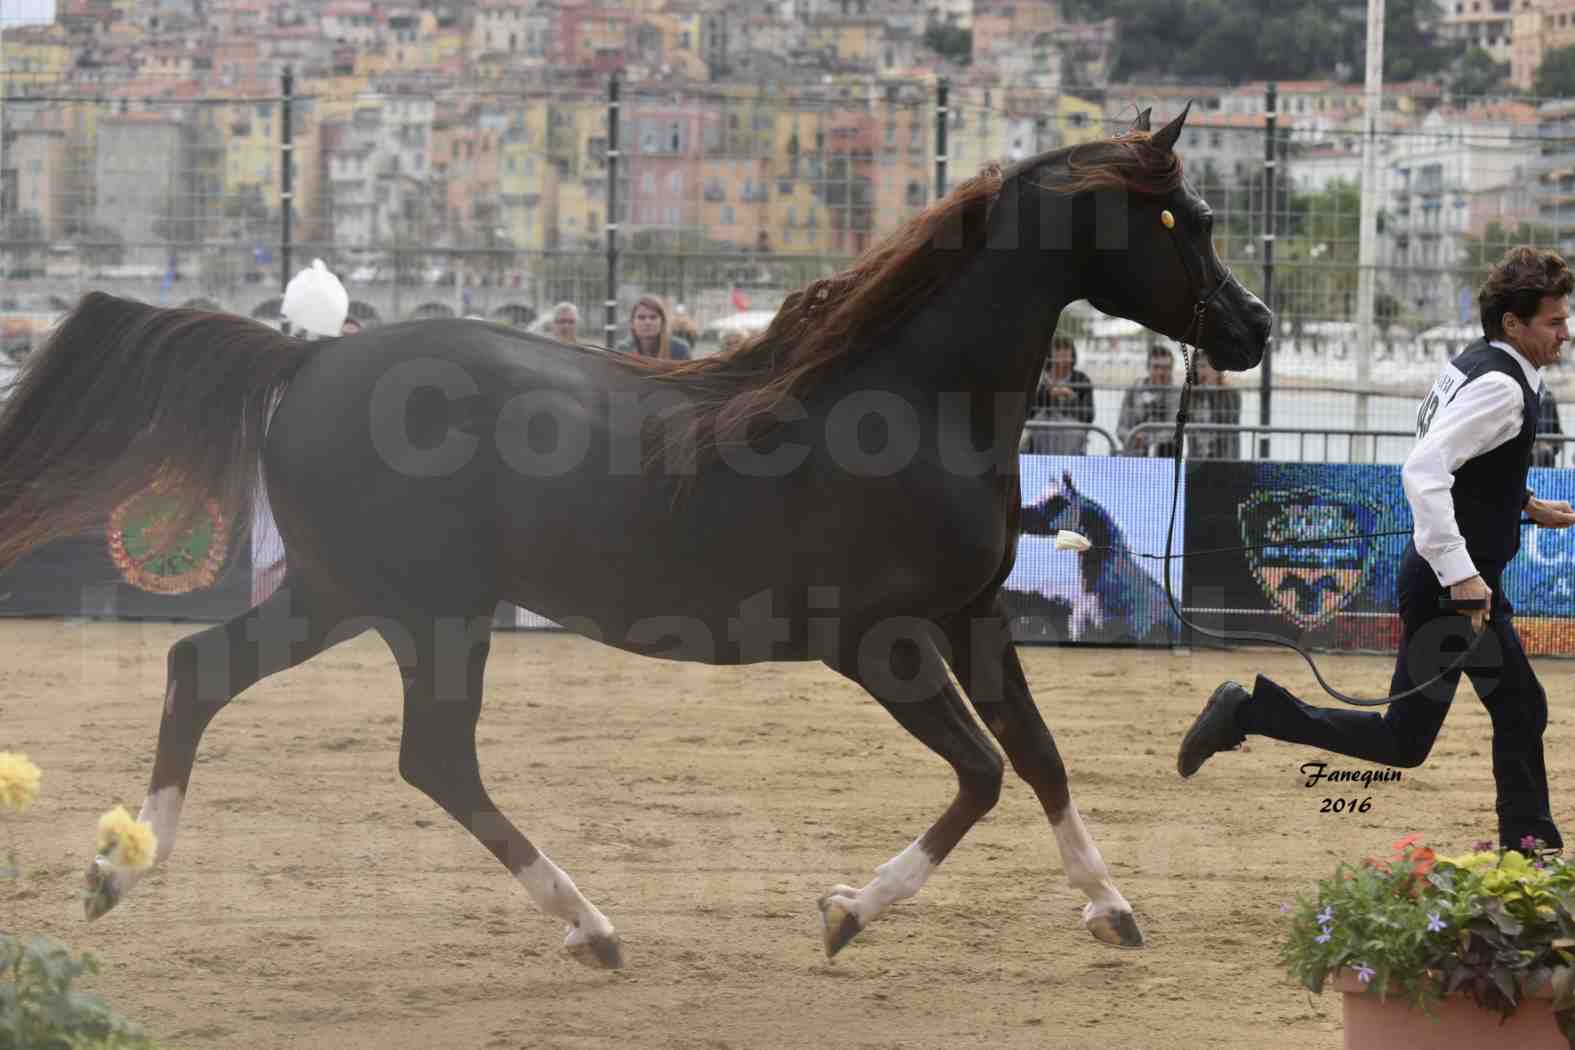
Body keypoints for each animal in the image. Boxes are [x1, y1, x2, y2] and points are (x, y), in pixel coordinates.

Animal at [0, 107, 1266, 969]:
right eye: (1177, 219)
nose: (1253, 328)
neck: (909, 402)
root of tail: (309, 355)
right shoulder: (879, 644)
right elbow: (981, 775)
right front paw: (845, 914)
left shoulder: (970, 615)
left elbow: (1039, 760)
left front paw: (1111, 909)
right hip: (424, 610)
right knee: (427, 756)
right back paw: (591, 927)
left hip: (344, 594)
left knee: (204, 674)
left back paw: (119, 874)